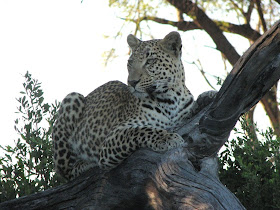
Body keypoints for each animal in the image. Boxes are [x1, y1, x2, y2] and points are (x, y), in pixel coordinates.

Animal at [52, 31, 212, 180]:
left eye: (150, 61)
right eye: (130, 63)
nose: (132, 82)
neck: (170, 98)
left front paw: (207, 96)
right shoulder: (113, 137)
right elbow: (140, 130)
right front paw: (166, 138)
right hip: (72, 98)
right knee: (66, 172)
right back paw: (87, 163)